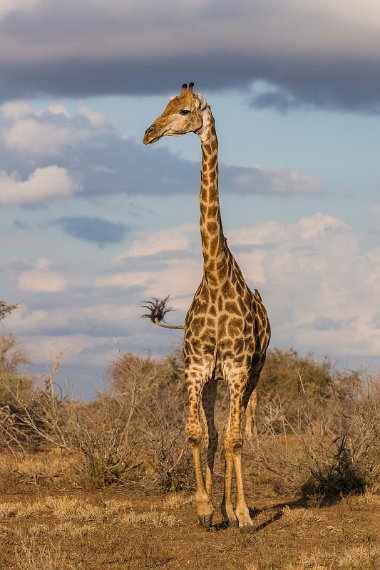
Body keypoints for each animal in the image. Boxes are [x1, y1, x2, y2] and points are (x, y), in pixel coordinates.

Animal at [142, 82, 270, 524]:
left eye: (184, 111)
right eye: (164, 106)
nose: (148, 133)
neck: (215, 277)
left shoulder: (237, 368)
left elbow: (235, 440)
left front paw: (243, 513)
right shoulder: (197, 367)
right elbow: (199, 434)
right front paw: (203, 507)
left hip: (251, 375)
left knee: (238, 431)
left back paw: (234, 510)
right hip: (216, 379)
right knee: (217, 434)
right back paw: (220, 509)